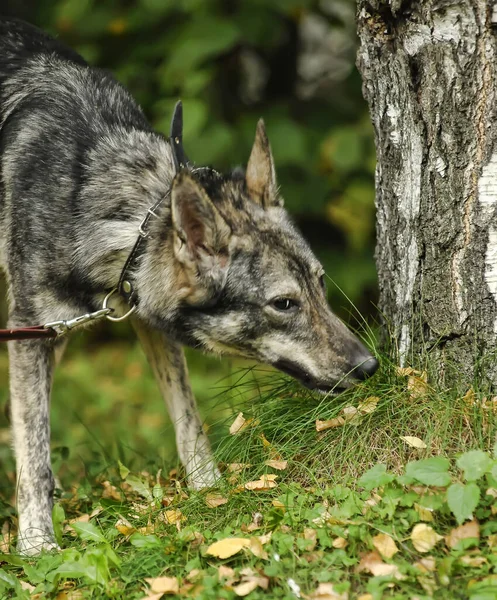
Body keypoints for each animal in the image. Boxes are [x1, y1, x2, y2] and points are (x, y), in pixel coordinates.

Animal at [0, 17, 378, 552]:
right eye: (284, 303)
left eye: (321, 286)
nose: (370, 366)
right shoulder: (33, 332)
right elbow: (35, 449)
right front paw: (37, 546)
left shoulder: (136, 321)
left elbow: (188, 418)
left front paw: (209, 491)